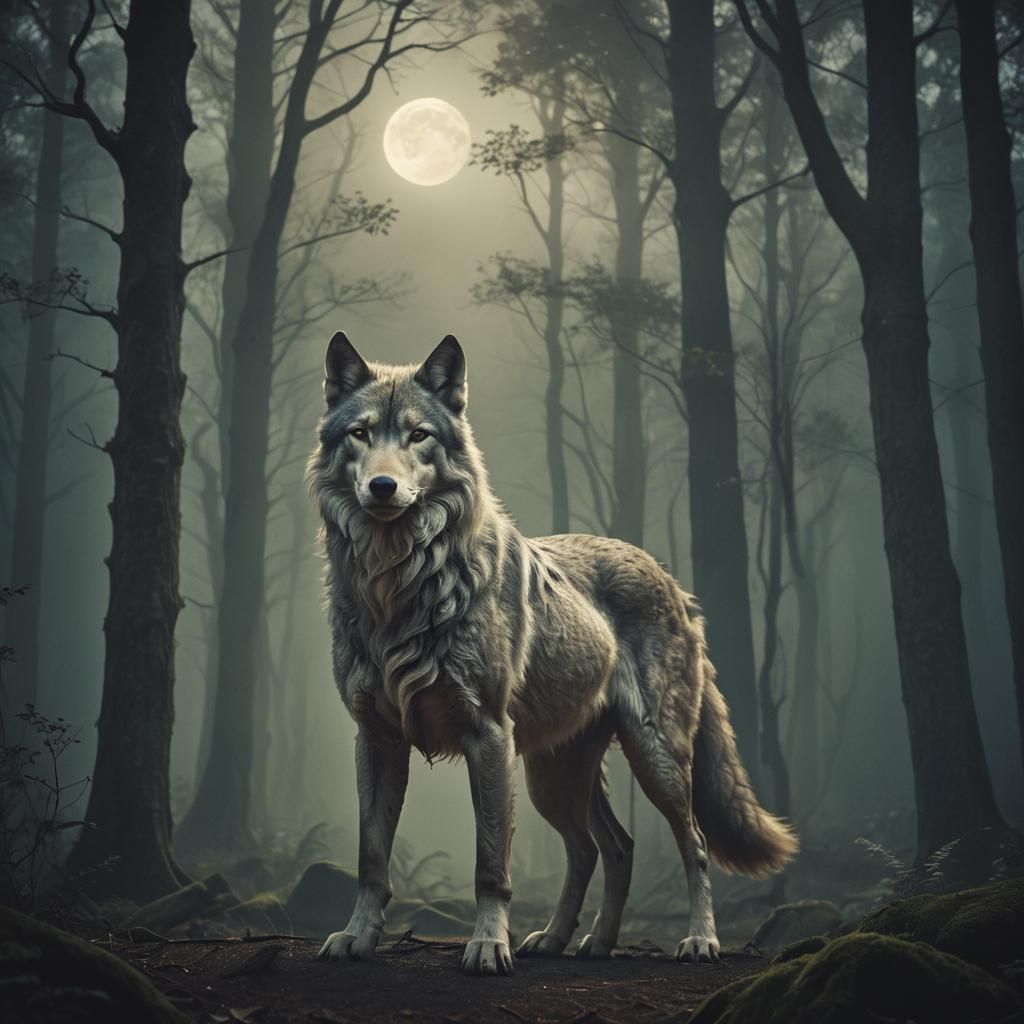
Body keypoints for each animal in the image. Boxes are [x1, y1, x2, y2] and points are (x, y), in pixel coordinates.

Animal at [307, 332, 797, 976]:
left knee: (690, 842)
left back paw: (699, 940)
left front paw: (488, 945)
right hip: (553, 777)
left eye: (418, 435)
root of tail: (674, 582)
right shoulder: (377, 738)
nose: (382, 488)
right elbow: (371, 856)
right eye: (360, 433)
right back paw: (578, 940)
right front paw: (356, 937)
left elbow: (491, 863)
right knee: (607, 848)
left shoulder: (488, 734)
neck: (399, 584)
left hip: (654, 758)